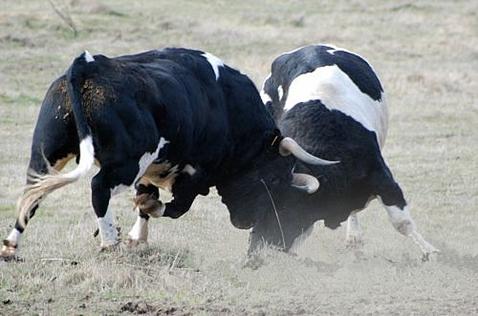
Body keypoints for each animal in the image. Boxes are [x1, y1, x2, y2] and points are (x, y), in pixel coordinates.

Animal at [0, 47, 336, 260]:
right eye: (275, 180)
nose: (245, 222)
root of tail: (90, 64)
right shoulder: (194, 175)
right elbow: (173, 207)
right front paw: (141, 222)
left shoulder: (154, 170)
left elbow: (145, 199)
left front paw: (138, 234)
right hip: (124, 164)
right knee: (98, 188)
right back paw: (110, 242)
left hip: (47, 154)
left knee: (32, 192)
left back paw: (11, 246)